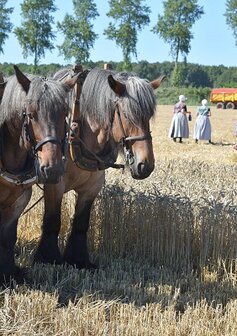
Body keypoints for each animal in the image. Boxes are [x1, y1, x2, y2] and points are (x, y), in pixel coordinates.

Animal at [0, 66, 78, 284]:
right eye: (31, 114)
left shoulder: (20, 198)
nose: (52, 169)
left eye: (64, 114)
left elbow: (7, 237)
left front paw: (8, 274)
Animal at [35, 67, 165, 268]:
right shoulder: (53, 184)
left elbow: (81, 223)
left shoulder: (91, 188)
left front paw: (79, 259)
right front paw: (48, 258)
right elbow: (52, 221)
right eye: (127, 114)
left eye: (149, 116)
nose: (145, 165)